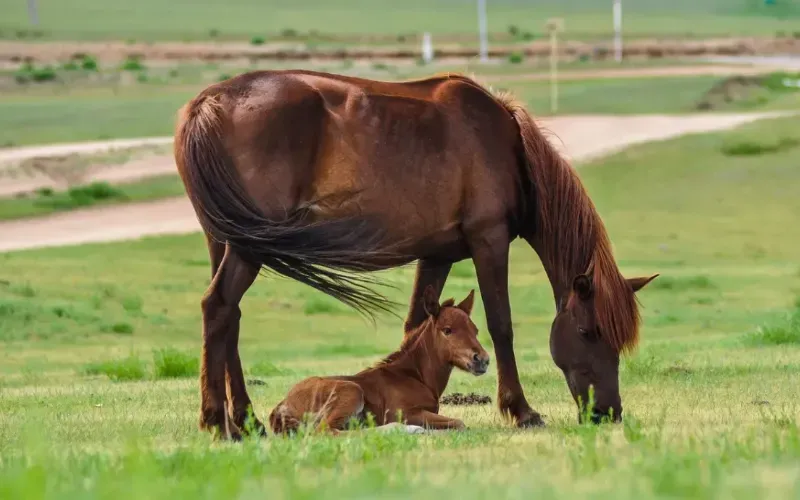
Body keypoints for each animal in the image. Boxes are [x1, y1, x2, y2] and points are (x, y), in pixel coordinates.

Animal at [269, 286, 488, 435]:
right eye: (447, 330)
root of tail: (282, 405)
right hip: (351, 391)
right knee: (327, 431)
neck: (414, 376)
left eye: (475, 330)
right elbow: (459, 423)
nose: (482, 360)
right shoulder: (405, 412)